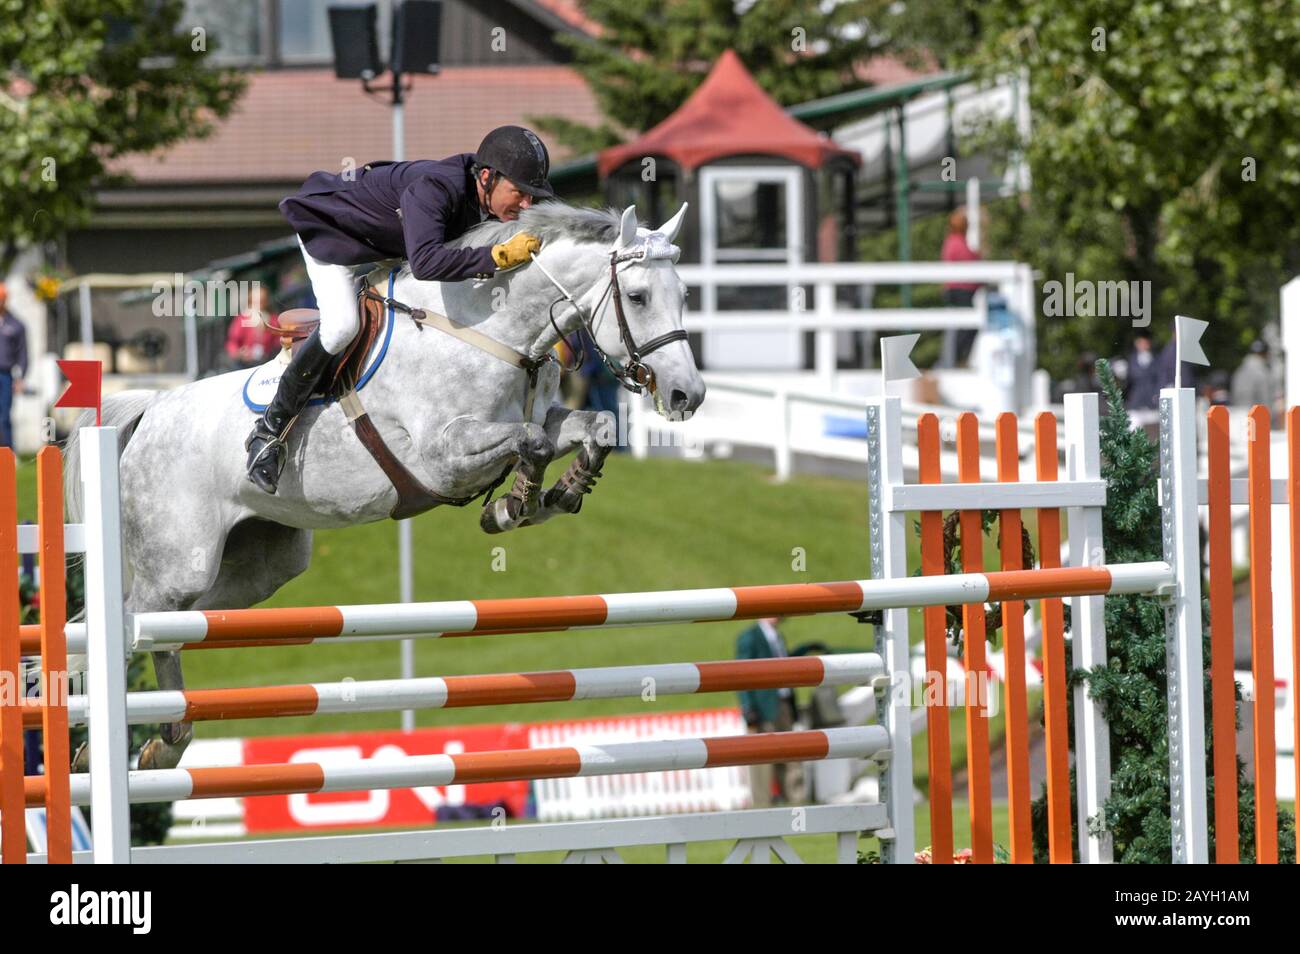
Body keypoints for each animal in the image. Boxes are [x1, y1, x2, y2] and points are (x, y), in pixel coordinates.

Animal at [65, 201, 707, 769]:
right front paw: (515, 503)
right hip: (180, 565)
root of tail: (149, 410)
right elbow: (532, 441)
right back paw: (107, 732)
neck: (494, 331)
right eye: (637, 296)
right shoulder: (441, 457)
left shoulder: (540, 418)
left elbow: (590, 428)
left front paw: (558, 493)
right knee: (126, 623)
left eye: (684, 295)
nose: (688, 395)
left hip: (256, 570)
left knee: (163, 630)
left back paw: (163, 738)